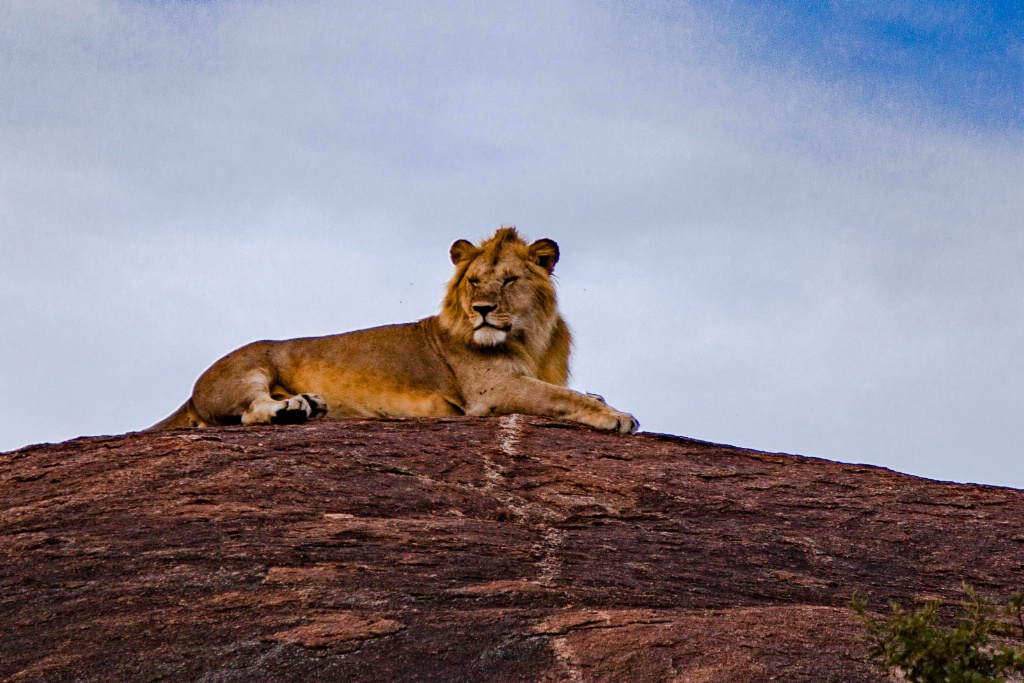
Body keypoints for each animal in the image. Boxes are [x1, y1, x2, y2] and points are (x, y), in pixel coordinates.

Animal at [147, 228, 634, 432]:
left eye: (510, 280)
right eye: (474, 281)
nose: (481, 310)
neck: (531, 338)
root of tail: (192, 392)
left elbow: (569, 391)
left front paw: (601, 400)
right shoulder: (490, 390)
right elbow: (558, 397)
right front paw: (616, 416)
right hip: (248, 369)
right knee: (249, 412)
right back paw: (295, 409)